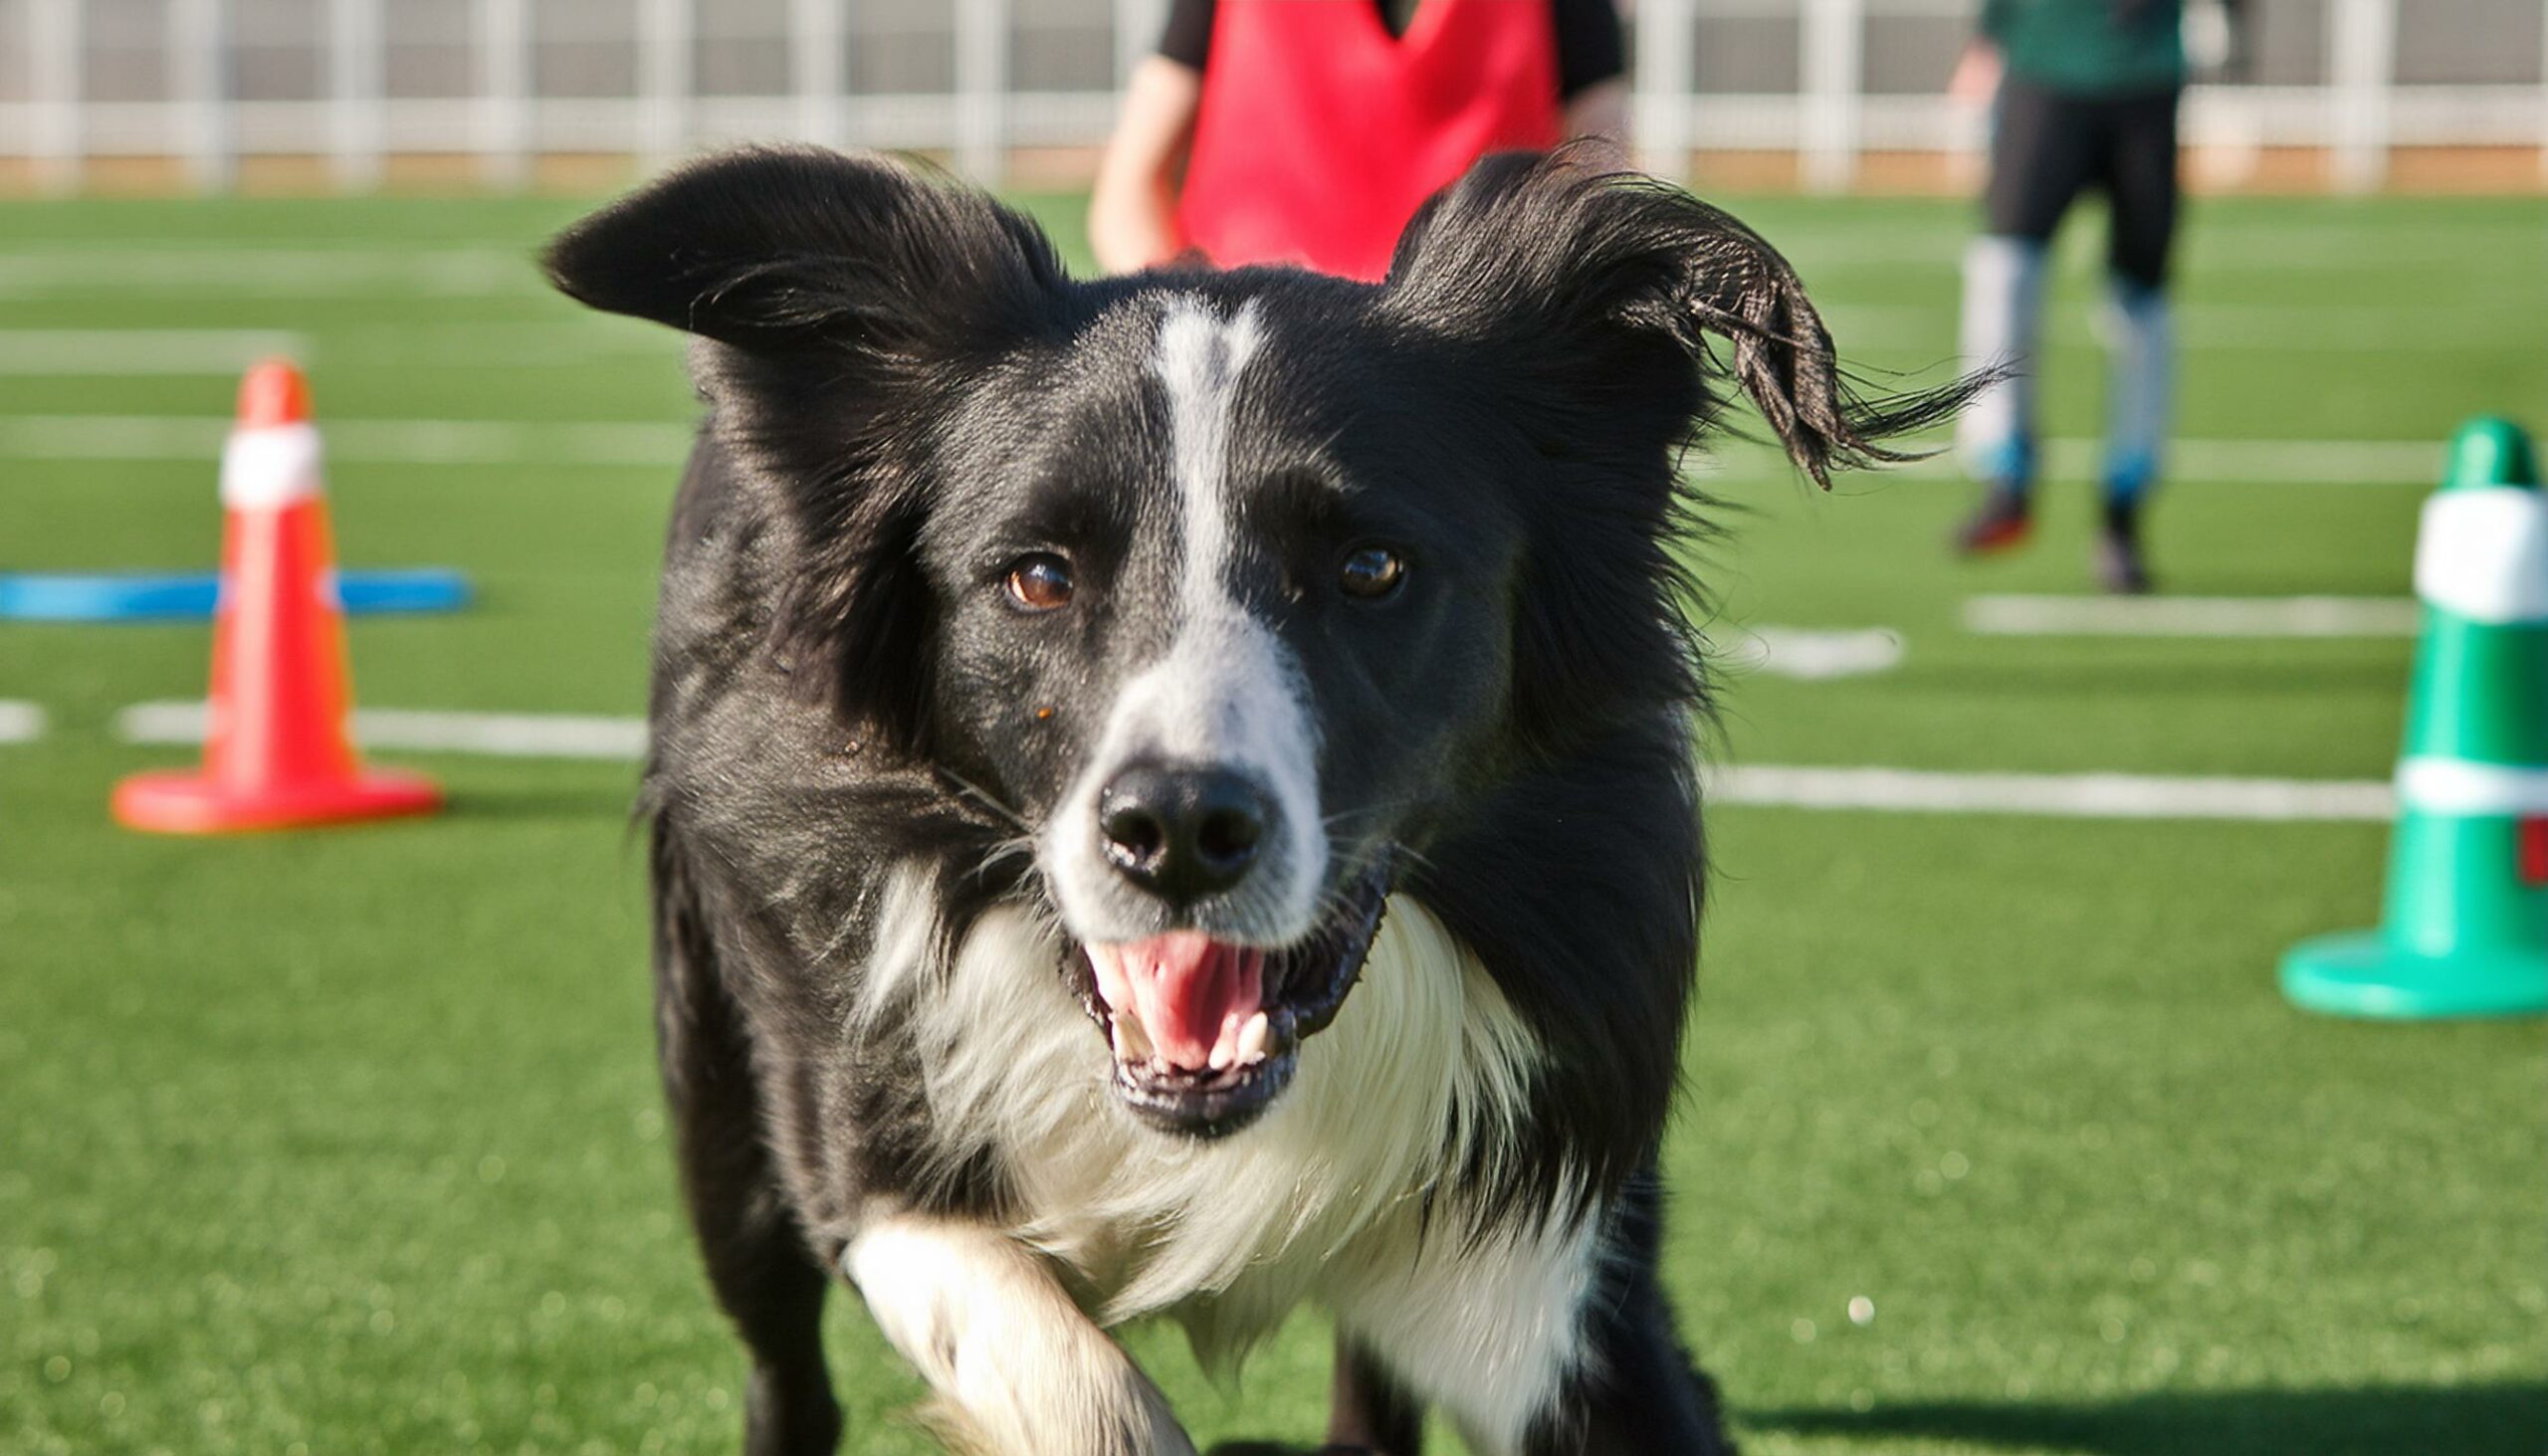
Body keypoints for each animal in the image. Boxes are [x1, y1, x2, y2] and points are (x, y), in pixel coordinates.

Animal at [547, 147, 1957, 1456]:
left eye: (1371, 565)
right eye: (1038, 576)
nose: (1177, 832)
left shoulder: (1547, 1230)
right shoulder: (871, 1136)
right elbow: (1083, 1385)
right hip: (719, 1107)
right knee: (779, 1351)